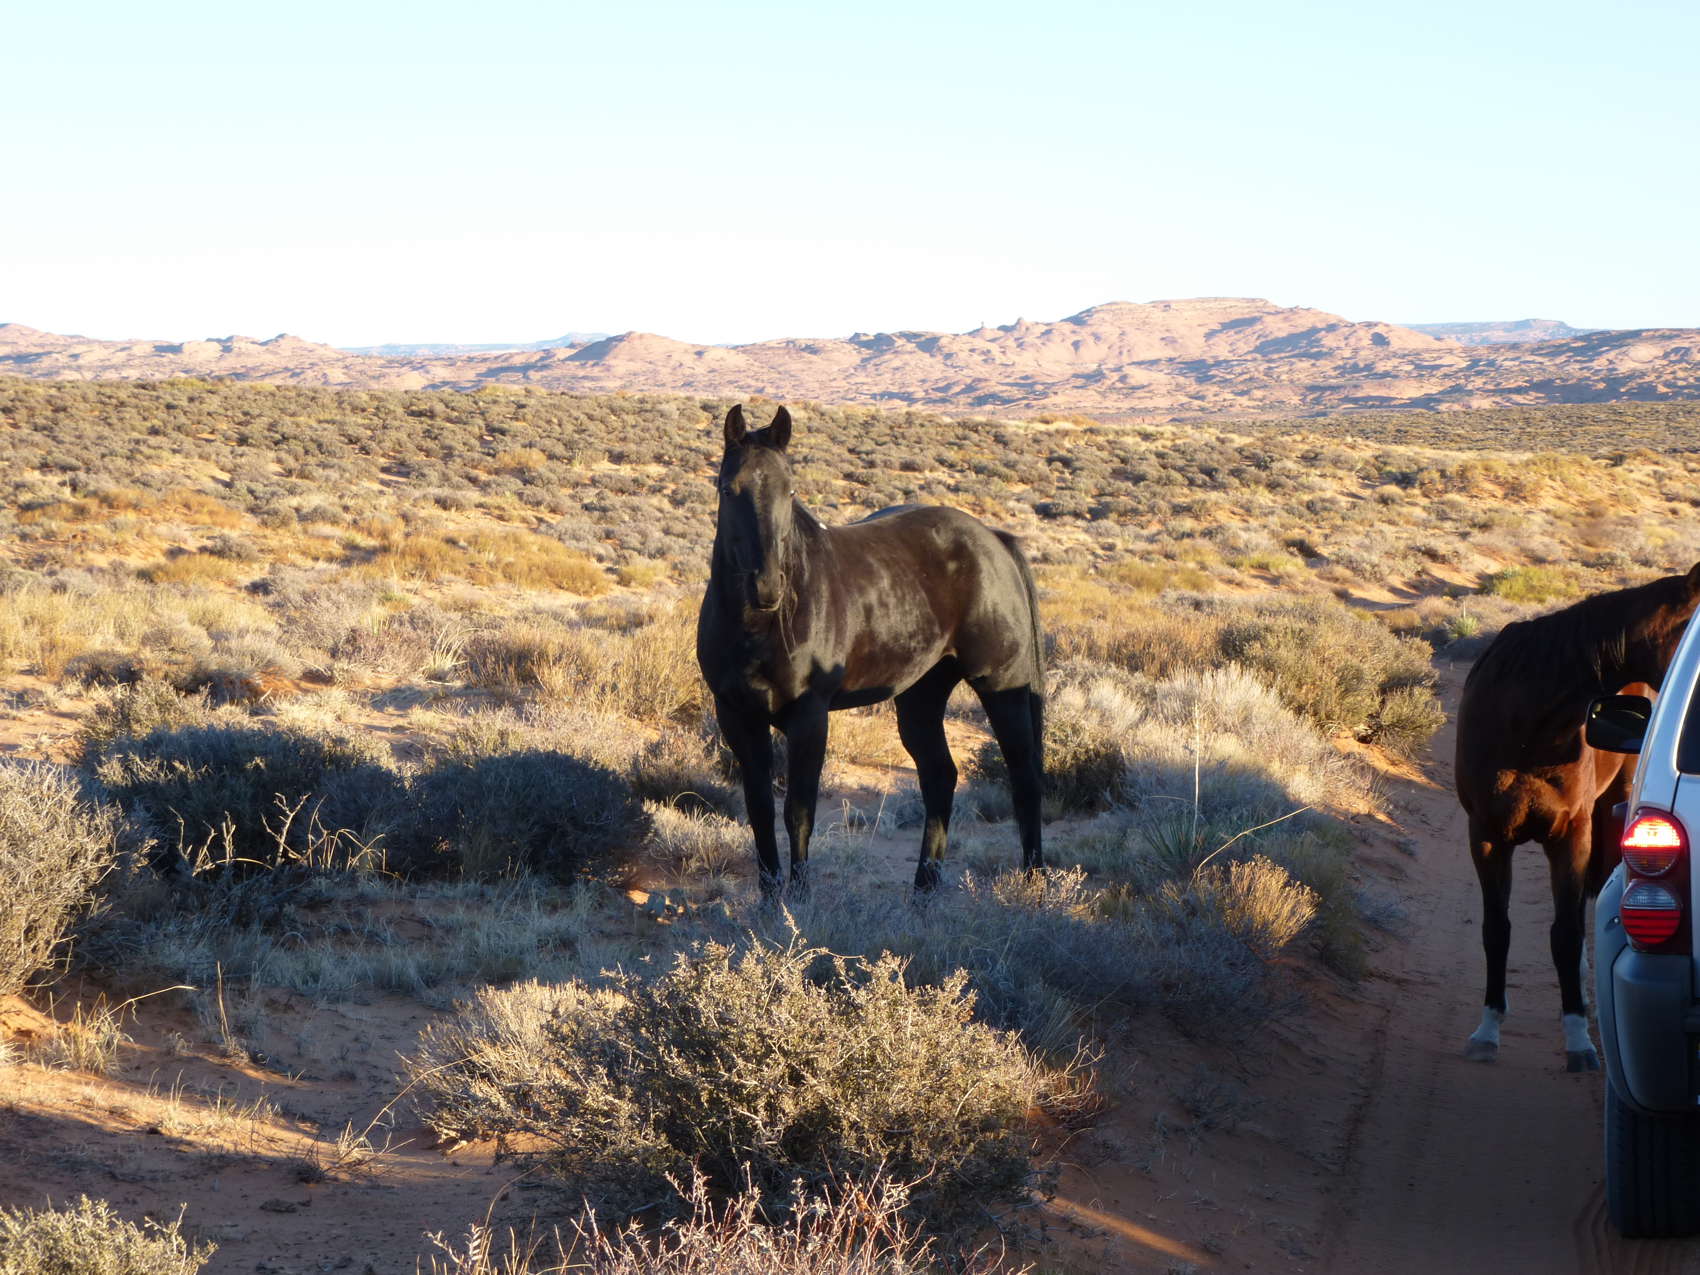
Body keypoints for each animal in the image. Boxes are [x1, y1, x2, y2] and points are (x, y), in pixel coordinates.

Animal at [696, 403, 1045, 898]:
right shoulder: (736, 715)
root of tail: (995, 540)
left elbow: (798, 813)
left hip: (1002, 686)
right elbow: (760, 811)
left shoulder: (809, 717)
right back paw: (923, 893)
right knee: (940, 777)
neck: (762, 626)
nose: (767, 587)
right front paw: (768, 901)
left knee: (1024, 778)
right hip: (921, 695)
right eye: (729, 489)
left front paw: (798, 902)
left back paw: (1032, 887)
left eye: (790, 489)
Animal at [1456, 563, 1700, 1070]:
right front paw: (1487, 1031)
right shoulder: (1486, 835)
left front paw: (1579, 1041)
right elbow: (1496, 930)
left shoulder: (1572, 834)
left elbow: (1566, 934)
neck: (1528, 725)